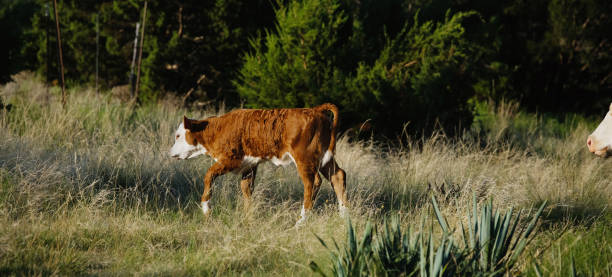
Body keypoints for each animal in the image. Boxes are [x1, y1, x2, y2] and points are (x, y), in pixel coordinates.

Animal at [170, 102, 346, 223]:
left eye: (178, 135)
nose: (170, 153)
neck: (219, 129)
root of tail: (315, 110)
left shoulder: (231, 159)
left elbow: (209, 175)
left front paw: (206, 209)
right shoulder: (249, 165)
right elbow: (246, 189)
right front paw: (248, 217)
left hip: (305, 158)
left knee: (312, 182)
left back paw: (301, 221)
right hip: (324, 158)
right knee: (338, 176)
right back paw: (345, 215)